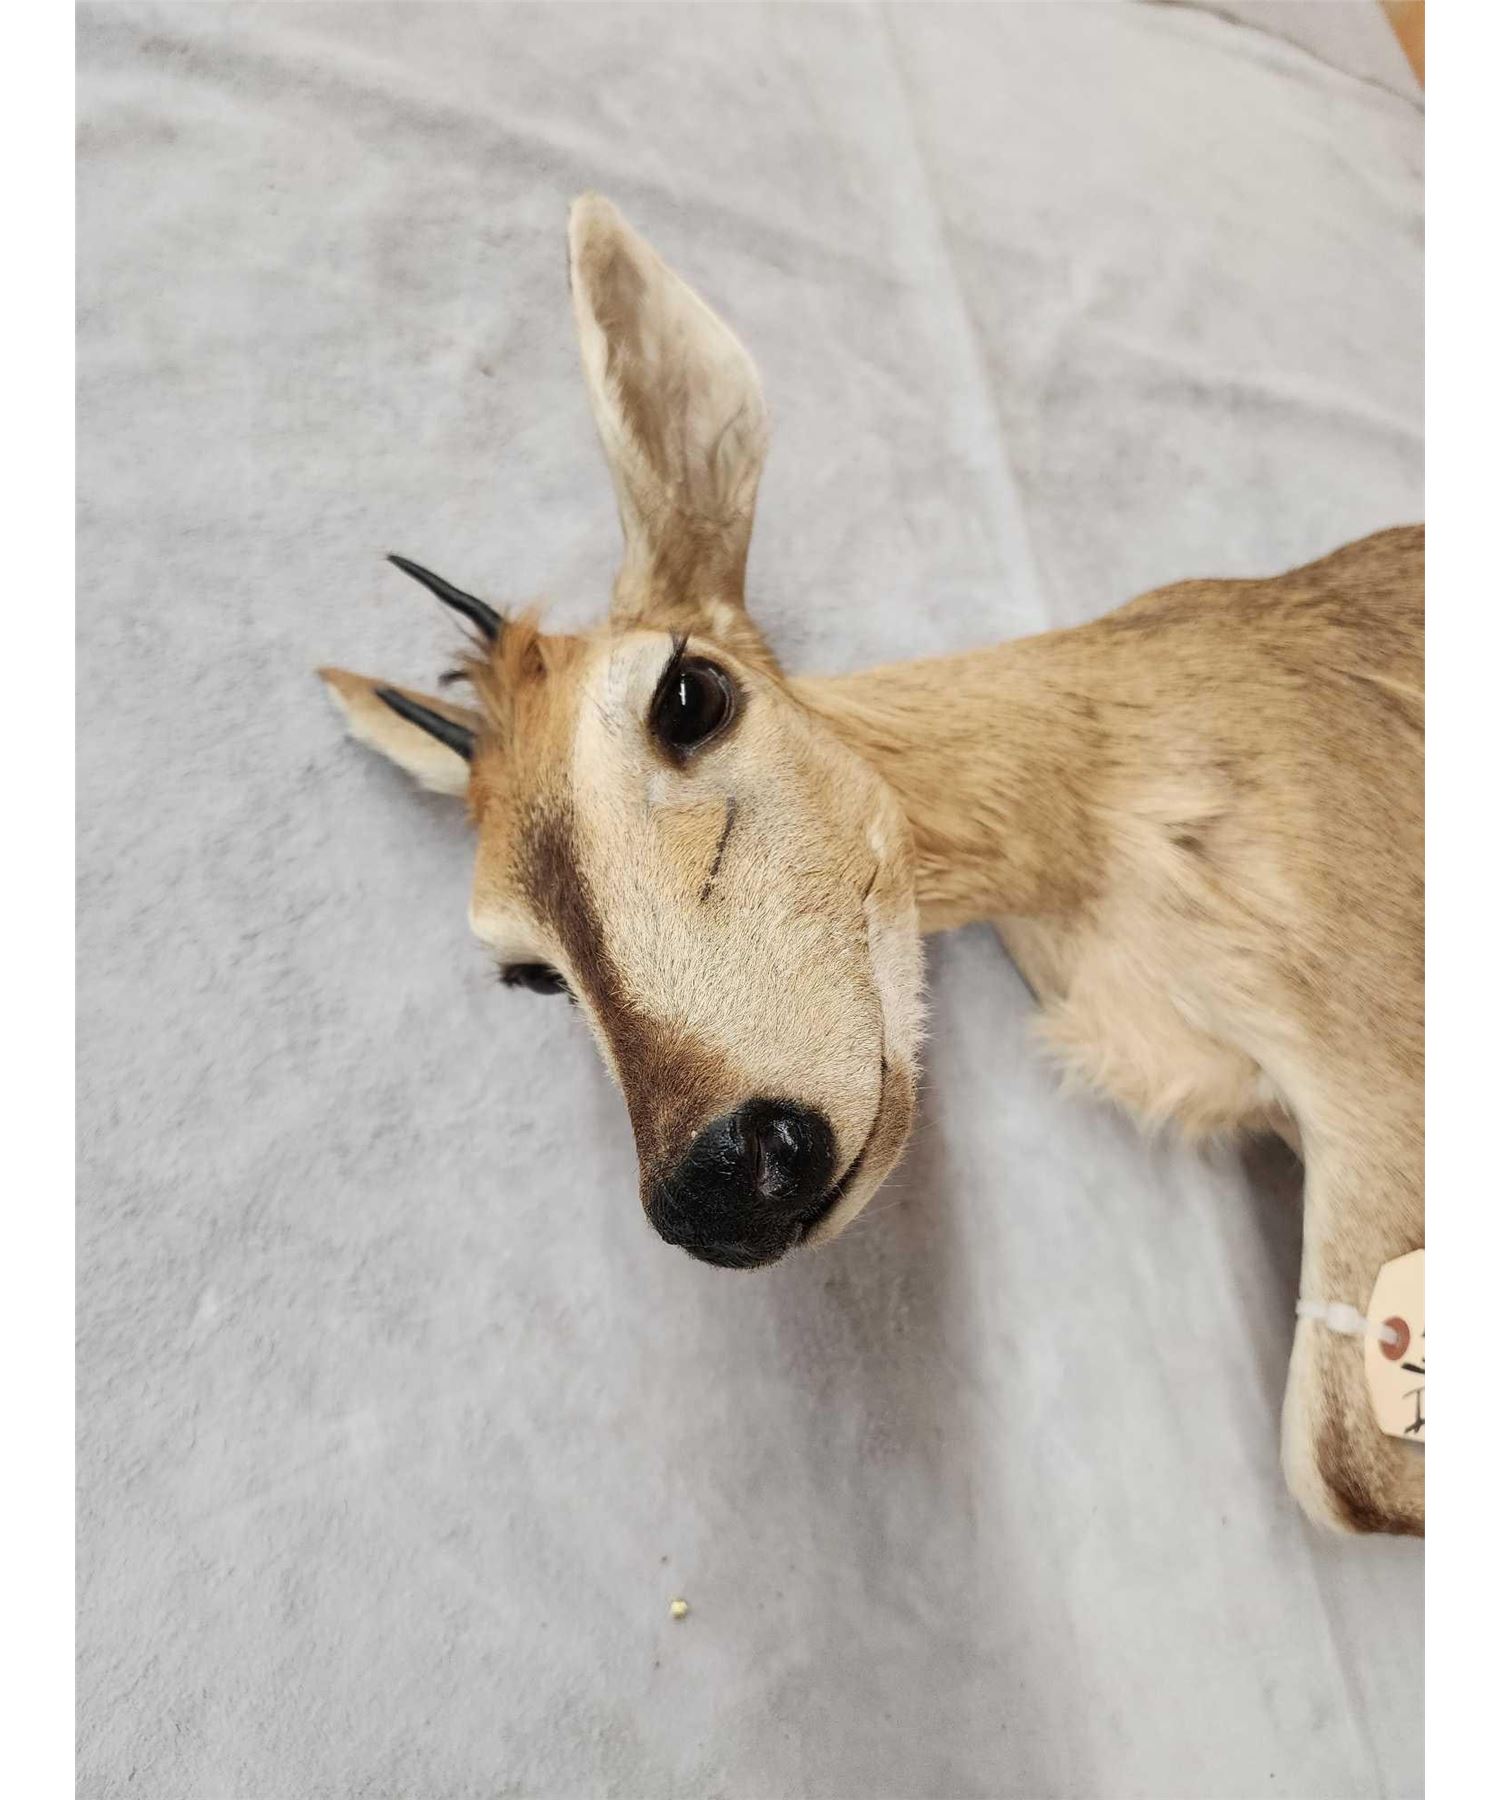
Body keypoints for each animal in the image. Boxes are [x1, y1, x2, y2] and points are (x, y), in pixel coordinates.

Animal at [319, 196, 1424, 1538]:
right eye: (527, 974)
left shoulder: (1378, 1074)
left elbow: (1339, 1467)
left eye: (689, 693)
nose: (721, 1177)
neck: (1104, 785)